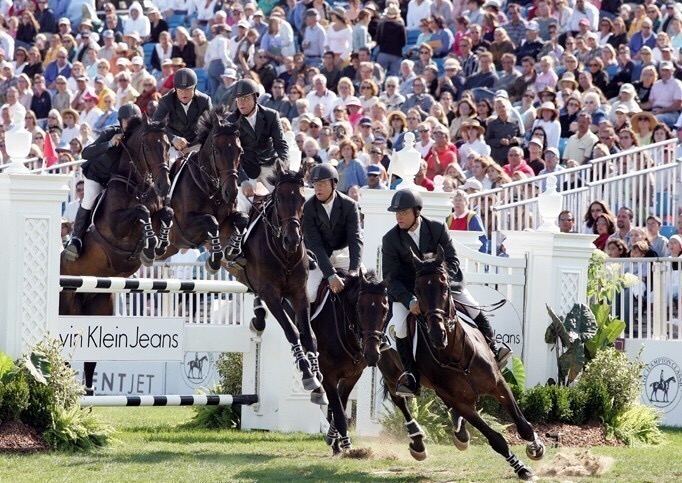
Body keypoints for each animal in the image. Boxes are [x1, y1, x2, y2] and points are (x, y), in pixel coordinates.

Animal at [60, 116, 173, 394]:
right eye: (148, 147)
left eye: (168, 145)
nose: (165, 185)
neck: (135, 183)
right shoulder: (116, 227)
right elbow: (142, 211)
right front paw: (150, 243)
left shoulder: (159, 209)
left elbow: (165, 213)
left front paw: (157, 245)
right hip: (67, 307)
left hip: (100, 308)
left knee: (90, 358)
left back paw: (88, 398)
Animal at [162, 106, 242, 274]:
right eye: (217, 151)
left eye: (240, 151)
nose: (231, 193)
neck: (211, 189)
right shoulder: (185, 227)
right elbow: (211, 220)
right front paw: (214, 261)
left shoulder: (225, 224)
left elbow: (242, 218)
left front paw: (232, 252)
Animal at [226, 164, 326, 406]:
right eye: (279, 199)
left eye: (302, 199)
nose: (292, 239)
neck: (285, 254)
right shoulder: (270, 293)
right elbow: (291, 331)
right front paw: (307, 375)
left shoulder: (299, 293)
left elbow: (308, 335)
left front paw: (318, 382)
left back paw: (258, 318)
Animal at [310, 270, 388, 456]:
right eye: (360, 308)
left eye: (385, 309)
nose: (372, 355)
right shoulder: (329, 376)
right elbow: (340, 413)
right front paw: (345, 446)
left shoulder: (352, 376)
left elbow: (340, 405)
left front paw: (334, 441)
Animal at [378, 248, 540, 482]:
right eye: (417, 290)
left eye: (445, 286)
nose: (438, 335)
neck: (456, 355)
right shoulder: (459, 401)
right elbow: (496, 439)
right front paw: (521, 468)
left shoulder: (499, 385)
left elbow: (523, 425)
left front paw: (536, 448)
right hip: (392, 375)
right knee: (400, 401)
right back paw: (418, 442)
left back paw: (459, 431)